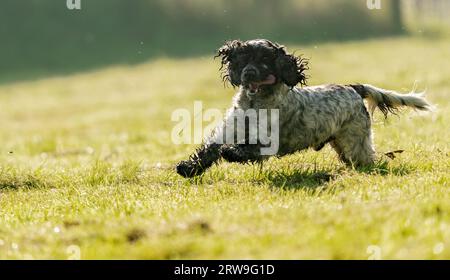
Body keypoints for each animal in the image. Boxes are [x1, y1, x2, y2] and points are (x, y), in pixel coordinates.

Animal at [175, 38, 432, 178]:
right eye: (244, 58)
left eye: (265, 60)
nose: (248, 73)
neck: (255, 104)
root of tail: (353, 87)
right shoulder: (228, 130)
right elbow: (209, 150)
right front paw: (187, 168)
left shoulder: (267, 141)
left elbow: (246, 149)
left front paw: (230, 152)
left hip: (355, 141)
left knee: (366, 158)